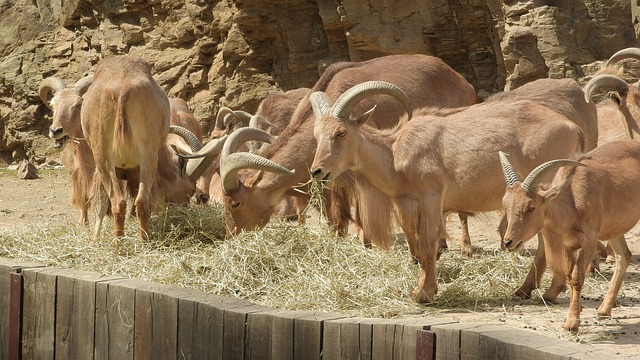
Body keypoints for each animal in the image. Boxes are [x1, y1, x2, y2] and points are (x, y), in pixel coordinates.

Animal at [212, 54, 478, 242]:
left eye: (234, 203)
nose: (231, 236)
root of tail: (462, 81)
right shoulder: (331, 181)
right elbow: (336, 218)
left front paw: (366, 240)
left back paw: (464, 246)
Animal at [312, 80, 592, 302]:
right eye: (317, 134)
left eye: (341, 132)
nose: (317, 171)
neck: (394, 153)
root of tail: (572, 127)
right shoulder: (409, 203)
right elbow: (417, 243)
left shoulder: (431, 197)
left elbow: (427, 244)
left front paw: (424, 293)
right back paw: (524, 290)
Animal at [500, 140, 640, 332]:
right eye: (505, 203)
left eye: (531, 207)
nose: (509, 241)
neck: (573, 202)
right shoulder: (566, 243)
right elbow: (568, 274)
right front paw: (577, 311)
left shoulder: (589, 240)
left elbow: (577, 277)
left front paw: (572, 323)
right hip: (614, 229)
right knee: (623, 256)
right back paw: (604, 309)